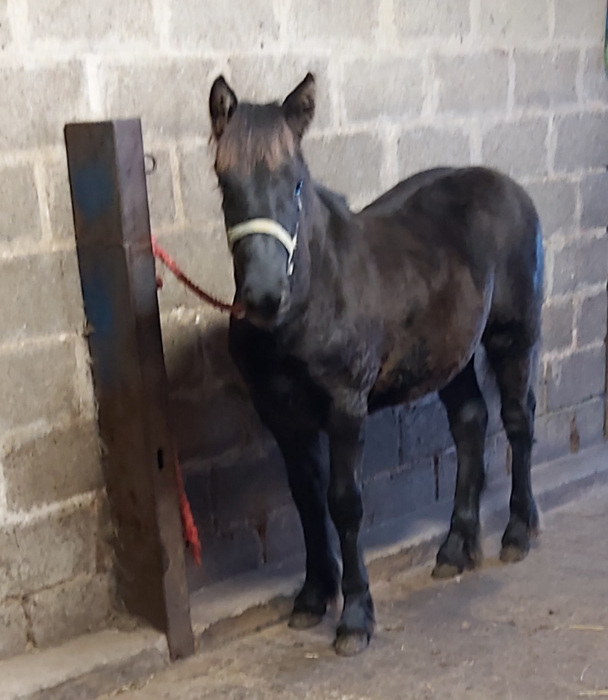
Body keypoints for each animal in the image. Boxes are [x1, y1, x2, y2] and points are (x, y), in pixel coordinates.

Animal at [208, 74, 540, 652]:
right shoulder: (282, 416)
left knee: (518, 422)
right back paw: (456, 548)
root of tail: (511, 189)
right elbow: (306, 500)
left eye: (297, 183)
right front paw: (312, 598)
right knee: (471, 423)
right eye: (225, 183)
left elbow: (345, 503)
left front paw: (355, 616)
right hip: (449, 356)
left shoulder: (346, 407)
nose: (265, 296)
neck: (312, 298)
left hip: (511, 340)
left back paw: (518, 532)